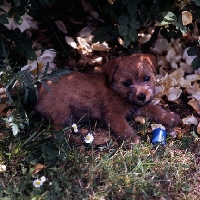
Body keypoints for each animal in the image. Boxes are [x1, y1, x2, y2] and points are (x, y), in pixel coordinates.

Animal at [34, 54, 181, 145]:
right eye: (126, 83)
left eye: (146, 78)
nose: (142, 96)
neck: (117, 92)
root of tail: (39, 91)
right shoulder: (113, 115)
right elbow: (123, 128)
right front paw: (132, 140)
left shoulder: (141, 105)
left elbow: (156, 109)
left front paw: (170, 117)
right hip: (61, 112)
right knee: (57, 133)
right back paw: (75, 140)